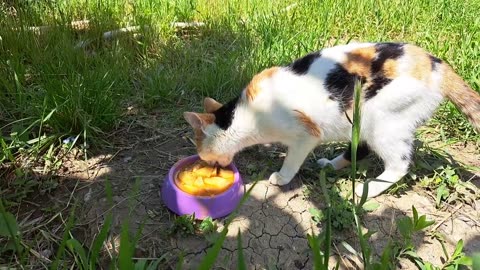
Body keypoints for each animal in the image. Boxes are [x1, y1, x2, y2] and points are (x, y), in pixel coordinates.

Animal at [183, 42, 480, 198]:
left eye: (204, 154)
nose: (210, 165)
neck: (248, 116)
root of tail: (435, 64)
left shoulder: (305, 135)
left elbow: (292, 160)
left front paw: (281, 178)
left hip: (382, 121)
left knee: (399, 164)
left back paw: (369, 188)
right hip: (362, 122)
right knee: (360, 149)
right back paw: (331, 165)